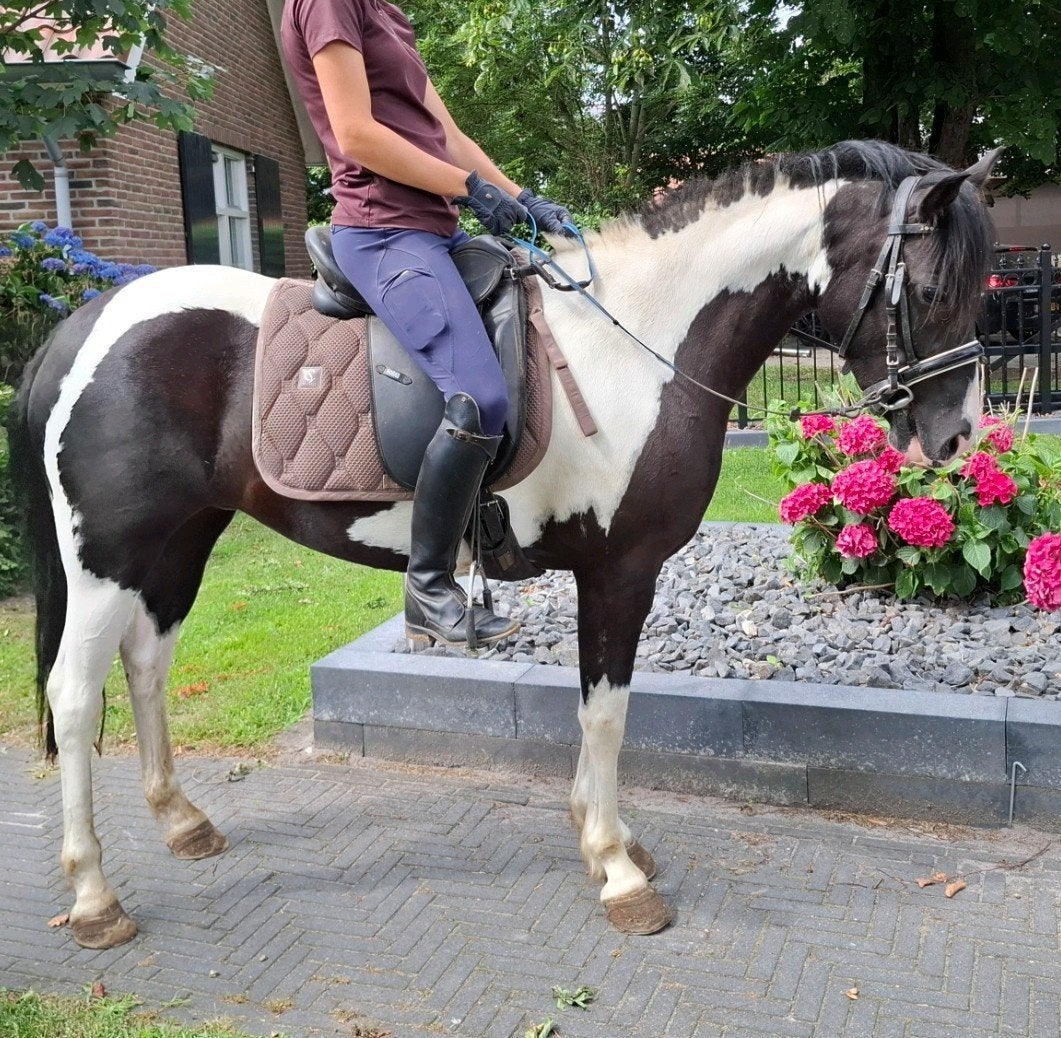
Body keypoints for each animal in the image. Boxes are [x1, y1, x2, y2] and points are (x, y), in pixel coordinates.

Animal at [9, 140, 997, 949]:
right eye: (933, 291)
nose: (956, 438)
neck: (638, 342)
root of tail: (78, 327)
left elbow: (598, 713)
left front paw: (608, 840)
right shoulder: (619, 570)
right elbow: (605, 714)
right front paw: (616, 868)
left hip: (177, 542)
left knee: (145, 667)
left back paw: (181, 821)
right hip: (107, 557)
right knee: (74, 696)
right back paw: (94, 897)